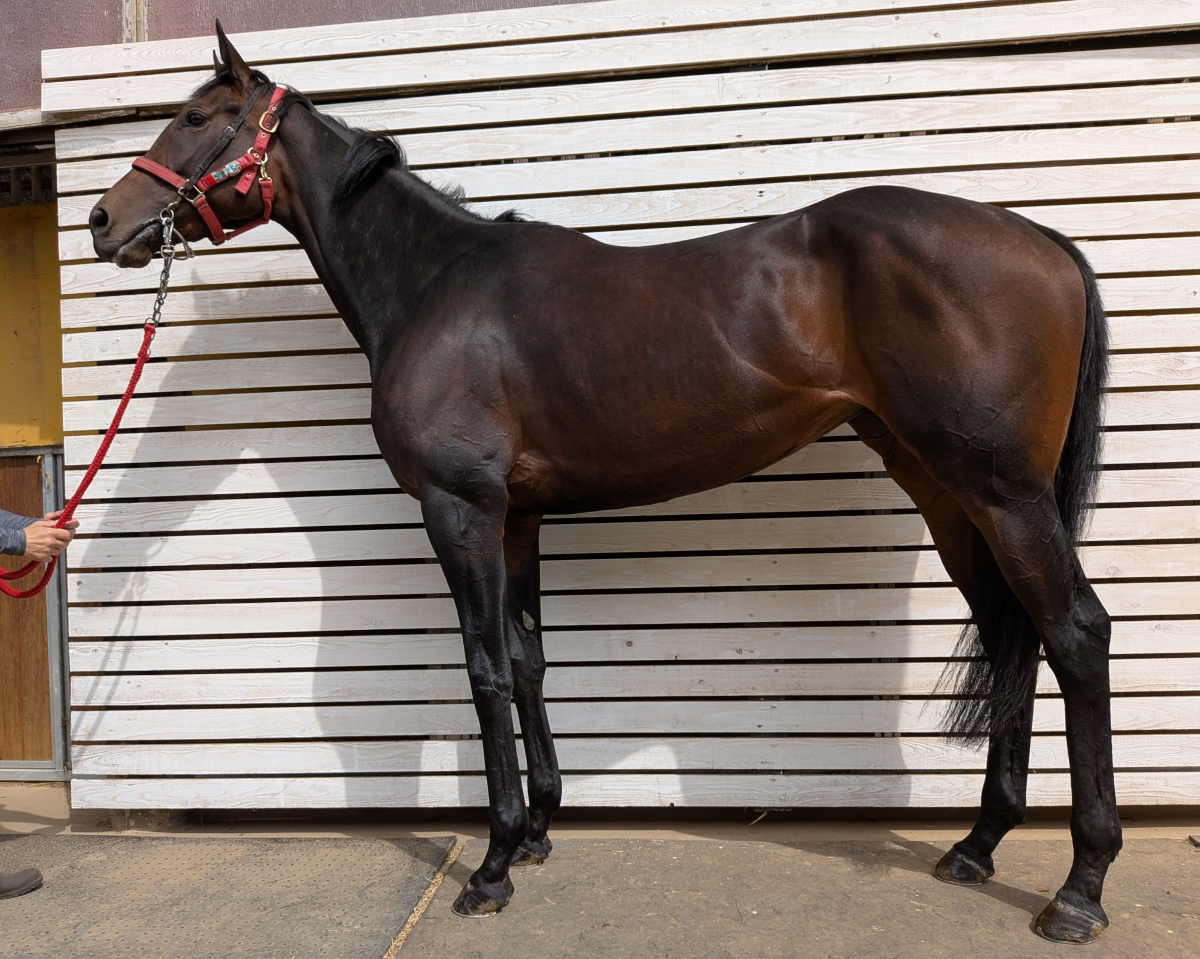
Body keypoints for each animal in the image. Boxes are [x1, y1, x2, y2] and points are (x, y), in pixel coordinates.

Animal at [89, 25, 1118, 942]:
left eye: (194, 117)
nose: (105, 222)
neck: (434, 286)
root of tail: (1040, 238)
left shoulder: (462, 512)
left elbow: (484, 667)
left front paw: (494, 864)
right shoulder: (518, 518)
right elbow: (529, 660)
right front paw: (539, 831)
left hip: (1002, 492)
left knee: (1074, 632)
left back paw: (1078, 889)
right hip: (948, 492)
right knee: (1013, 632)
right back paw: (977, 844)